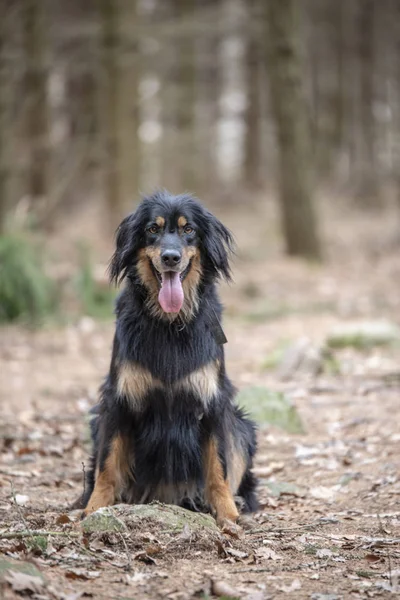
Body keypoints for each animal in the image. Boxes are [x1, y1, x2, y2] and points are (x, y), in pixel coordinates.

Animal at [79, 190, 258, 528]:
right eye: (152, 229)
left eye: (189, 229)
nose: (171, 257)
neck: (169, 323)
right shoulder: (118, 400)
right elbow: (107, 463)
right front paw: (94, 508)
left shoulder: (213, 401)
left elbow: (218, 467)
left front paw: (227, 514)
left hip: (242, 426)